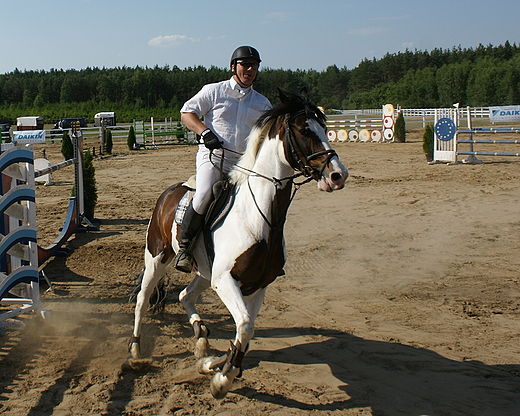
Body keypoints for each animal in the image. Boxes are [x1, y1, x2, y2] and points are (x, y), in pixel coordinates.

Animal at [129, 88, 350, 400]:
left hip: (204, 272)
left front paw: (216, 365)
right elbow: (244, 327)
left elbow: (245, 332)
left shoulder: (258, 285)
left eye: (323, 127)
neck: (259, 217)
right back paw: (136, 350)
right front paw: (221, 379)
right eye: (304, 129)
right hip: (157, 259)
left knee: (185, 296)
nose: (337, 175)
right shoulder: (225, 280)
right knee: (143, 299)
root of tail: (169, 192)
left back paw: (202, 340)